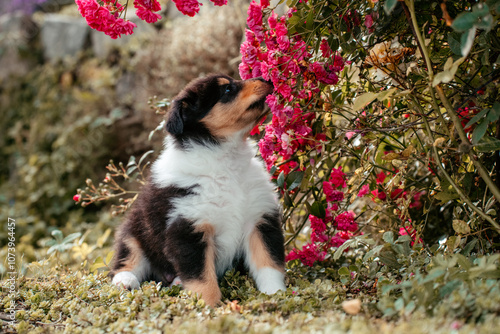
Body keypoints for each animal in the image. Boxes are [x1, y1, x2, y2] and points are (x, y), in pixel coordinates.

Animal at [111, 74, 288, 306]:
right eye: (228, 89)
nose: (266, 78)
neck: (225, 158)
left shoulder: (260, 218)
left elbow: (269, 263)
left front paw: (276, 295)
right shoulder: (188, 228)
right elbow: (202, 278)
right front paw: (210, 307)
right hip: (134, 229)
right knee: (127, 257)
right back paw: (125, 281)